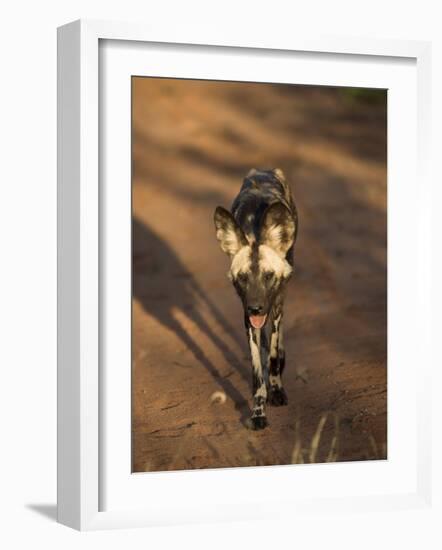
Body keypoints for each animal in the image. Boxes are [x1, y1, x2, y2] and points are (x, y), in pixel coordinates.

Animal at [213, 168, 296, 432]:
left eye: (268, 276)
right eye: (243, 278)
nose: (256, 307)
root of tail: (263, 170)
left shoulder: (276, 304)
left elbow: (272, 353)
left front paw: (277, 390)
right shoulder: (247, 316)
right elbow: (257, 367)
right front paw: (258, 412)